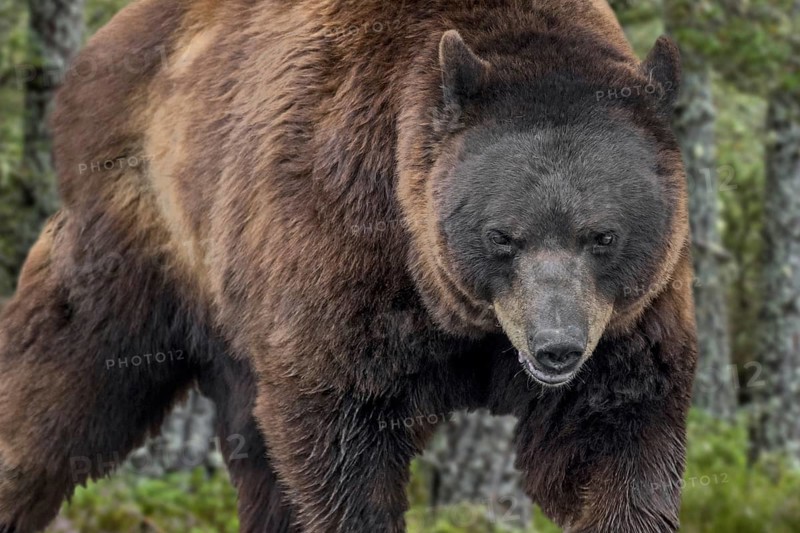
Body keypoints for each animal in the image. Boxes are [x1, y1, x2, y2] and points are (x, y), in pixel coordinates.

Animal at [0, 0, 697, 531]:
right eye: (502, 236)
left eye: (602, 235)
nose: (556, 346)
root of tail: (102, 44)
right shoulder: (340, 240)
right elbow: (338, 435)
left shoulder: (627, 319)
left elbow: (615, 433)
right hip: (147, 236)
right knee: (63, 384)